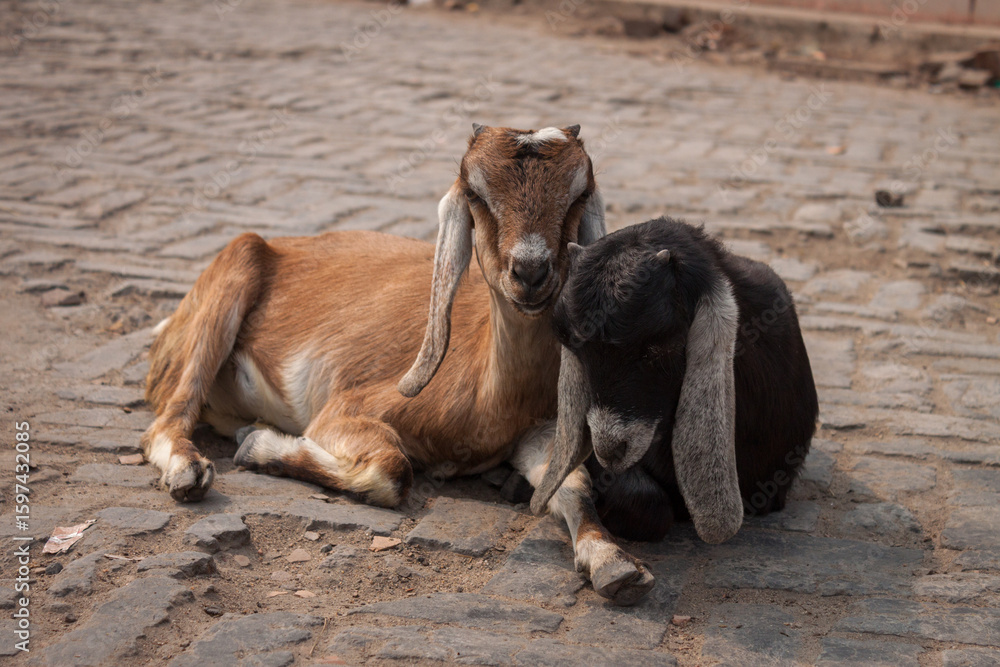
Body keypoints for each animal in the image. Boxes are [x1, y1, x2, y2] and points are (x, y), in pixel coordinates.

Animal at [142, 125, 656, 605]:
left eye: (580, 193)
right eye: (475, 192)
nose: (530, 273)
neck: (490, 394)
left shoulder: (537, 432)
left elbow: (574, 485)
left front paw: (614, 562)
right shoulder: (345, 410)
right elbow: (393, 469)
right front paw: (257, 446)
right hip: (232, 274)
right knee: (168, 418)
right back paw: (191, 470)